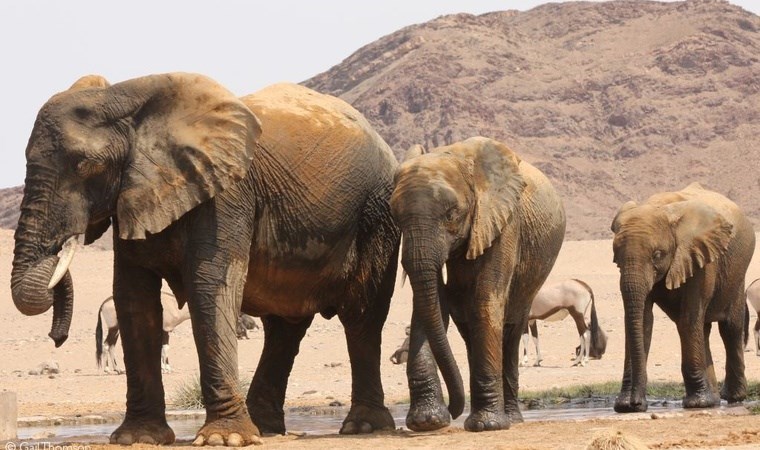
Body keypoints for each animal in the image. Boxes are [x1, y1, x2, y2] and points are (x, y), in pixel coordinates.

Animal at [11, 72, 400, 444]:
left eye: (85, 164)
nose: (56, 338)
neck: (130, 97)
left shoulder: (226, 193)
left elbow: (209, 284)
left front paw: (224, 438)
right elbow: (134, 298)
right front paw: (137, 438)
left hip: (376, 215)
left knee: (361, 316)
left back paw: (363, 427)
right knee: (285, 327)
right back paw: (265, 428)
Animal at [392, 137, 564, 432]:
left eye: (451, 214)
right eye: (396, 216)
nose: (452, 411)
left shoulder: (503, 222)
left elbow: (485, 299)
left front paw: (487, 425)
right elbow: (429, 304)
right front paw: (427, 422)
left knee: (511, 330)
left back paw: (511, 419)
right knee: (467, 326)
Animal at [612, 182, 756, 412]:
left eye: (657, 255)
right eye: (616, 257)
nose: (635, 403)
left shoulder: (699, 257)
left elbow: (688, 319)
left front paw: (697, 404)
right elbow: (643, 321)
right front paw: (625, 406)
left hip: (737, 272)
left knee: (730, 328)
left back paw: (732, 398)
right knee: (703, 330)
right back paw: (714, 400)